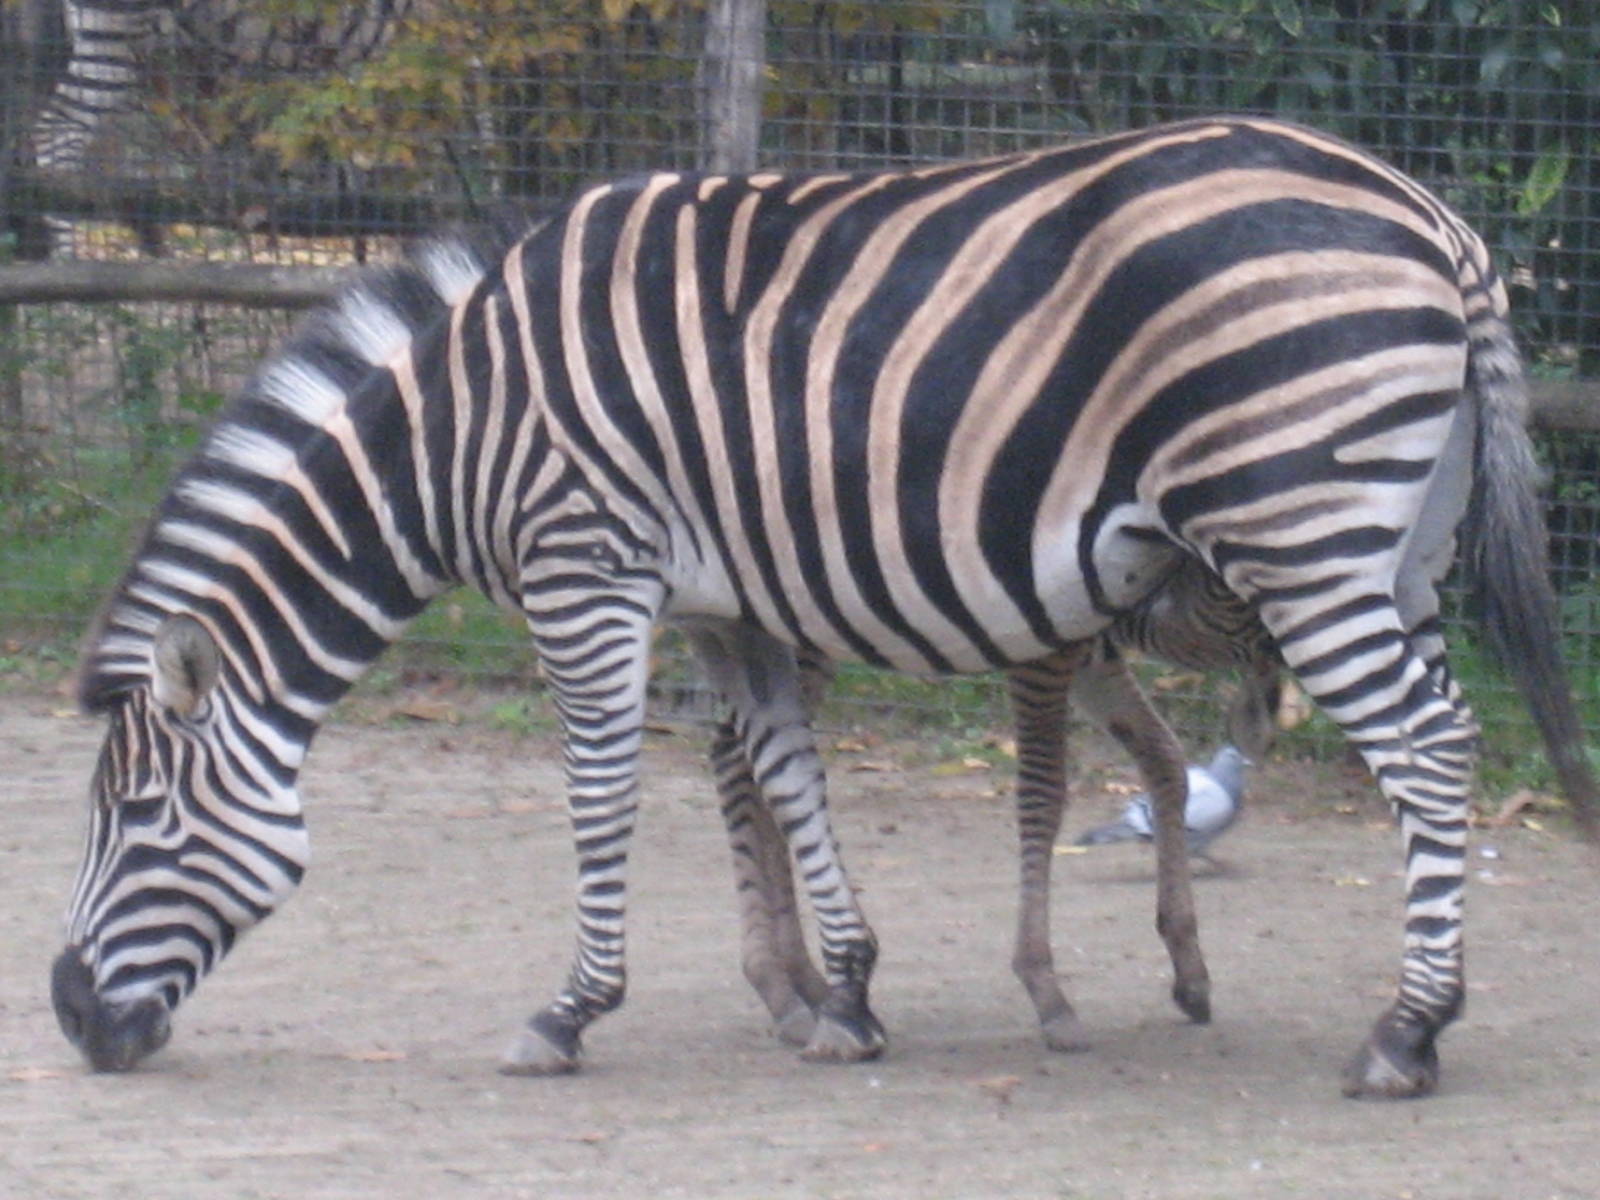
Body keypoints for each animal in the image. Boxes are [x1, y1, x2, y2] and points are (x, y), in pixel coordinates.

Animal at [52, 116, 1597, 1099]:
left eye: (137, 819)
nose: (67, 1017)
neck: (456, 431)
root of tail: (1435, 219)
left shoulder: (584, 569)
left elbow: (602, 796)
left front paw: (571, 1009)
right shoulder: (725, 604)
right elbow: (788, 777)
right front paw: (846, 995)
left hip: (1299, 533)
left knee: (1430, 753)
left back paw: (1406, 1035)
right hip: (1389, 549)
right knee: (1434, 747)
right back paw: (1409, 1009)